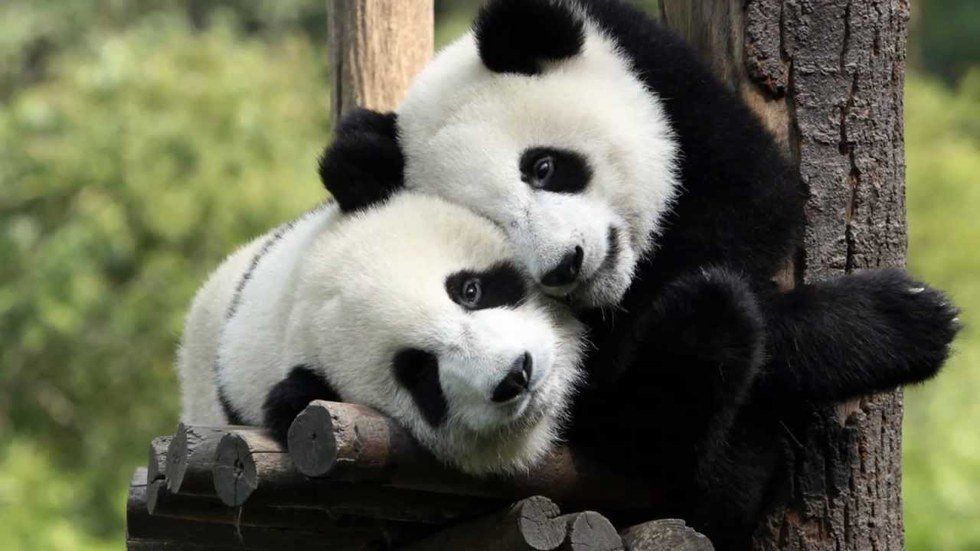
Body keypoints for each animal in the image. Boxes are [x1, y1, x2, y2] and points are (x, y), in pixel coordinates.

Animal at [318, 0, 961, 546]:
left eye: (543, 167)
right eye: (494, 226)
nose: (566, 265)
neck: (623, 286)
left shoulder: (675, 94)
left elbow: (753, 205)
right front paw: (901, 320)